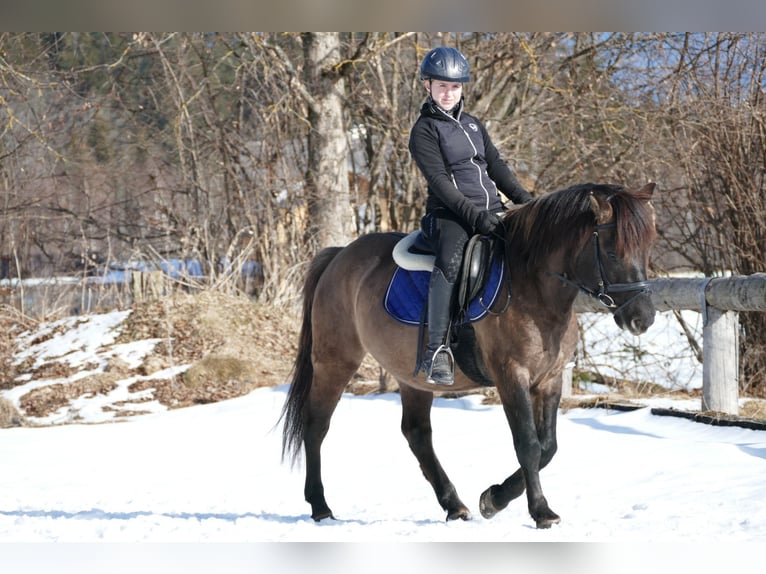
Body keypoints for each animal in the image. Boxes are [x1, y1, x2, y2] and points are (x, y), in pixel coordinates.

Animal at [282, 183, 660, 532]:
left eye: (645, 249)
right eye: (612, 252)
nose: (643, 319)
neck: (534, 287)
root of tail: (339, 256)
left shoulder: (549, 379)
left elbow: (548, 446)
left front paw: (494, 498)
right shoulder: (511, 376)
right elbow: (529, 445)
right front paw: (537, 511)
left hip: (412, 375)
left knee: (417, 434)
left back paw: (455, 506)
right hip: (335, 360)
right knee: (317, 425)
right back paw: (320, 507)